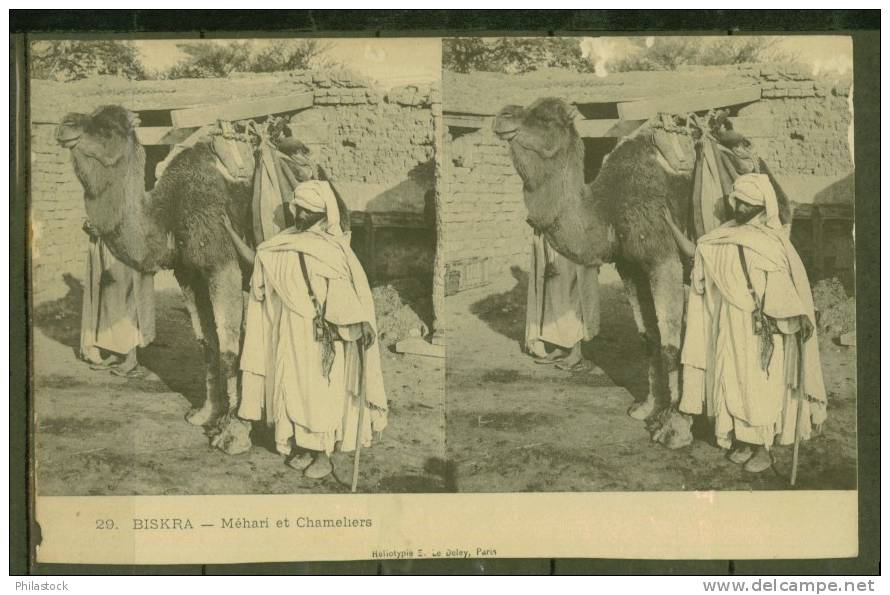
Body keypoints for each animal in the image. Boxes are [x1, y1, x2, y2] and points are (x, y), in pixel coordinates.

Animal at [55, 105, 326, 454]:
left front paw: (234, 433)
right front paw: (207, 414)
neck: (169, 211)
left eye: (107, 127)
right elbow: (207, 343)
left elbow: (229, 349)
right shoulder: (188, 272)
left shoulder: (222, 263)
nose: (65, 125)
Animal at [492, 98, 792, 448]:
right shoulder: (630, 266)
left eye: (544, 117)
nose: (502, 116)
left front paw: (676, 427)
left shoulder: (663, 259)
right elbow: (649, 338)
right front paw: (648, 407)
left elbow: (672, 345)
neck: (608, 207)